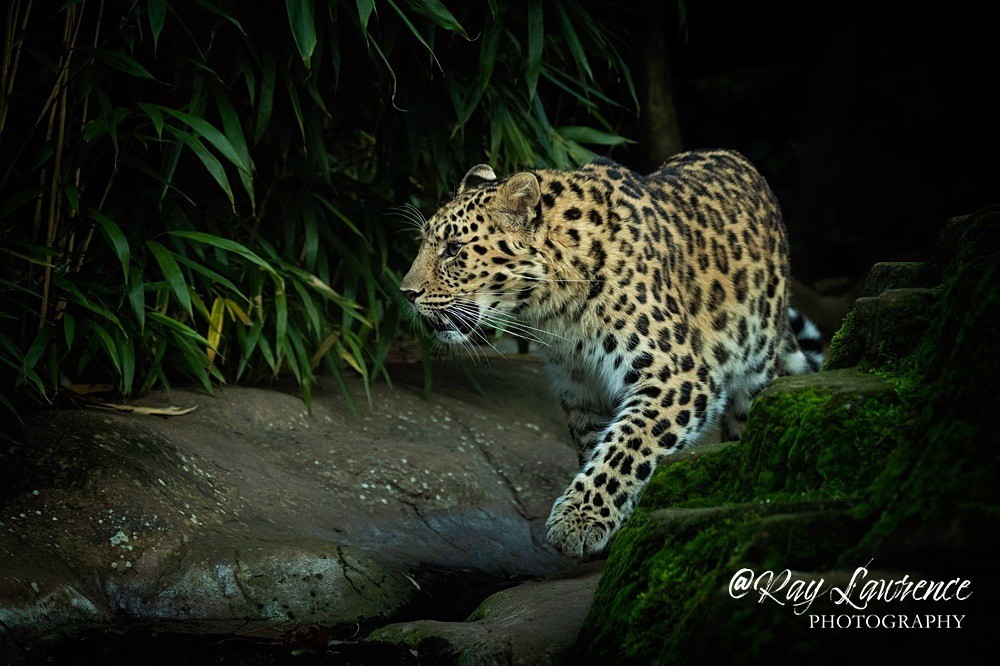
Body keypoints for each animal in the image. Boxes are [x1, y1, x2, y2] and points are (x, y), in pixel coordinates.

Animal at [399, 149, 823, 558]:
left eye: (454, 250)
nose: (406, 293)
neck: (558, 313)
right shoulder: (583, 390)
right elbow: (597, 447)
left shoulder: (680, 375)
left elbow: (626, 445)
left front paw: (577, 521)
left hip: (755, 371)